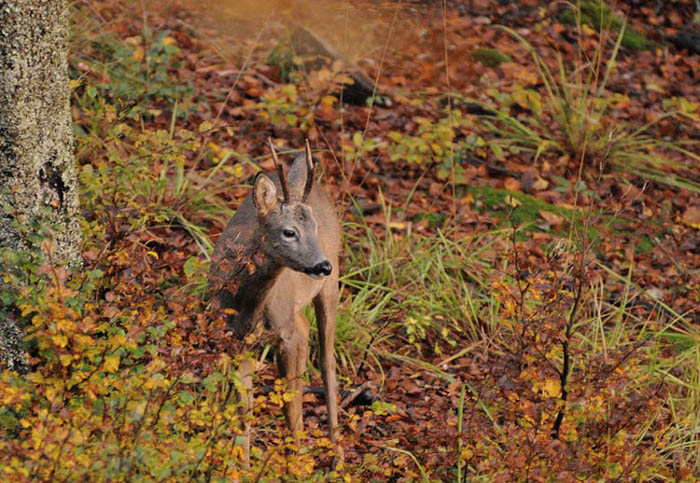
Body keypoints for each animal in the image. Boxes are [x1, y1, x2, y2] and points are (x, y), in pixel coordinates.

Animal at [211, 139, 342, 462]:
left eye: (314, 229)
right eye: (289, 232)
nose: (322, 265)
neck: (249, 307)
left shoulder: (285, 336)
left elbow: (291, 404)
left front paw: (297, 461)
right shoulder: (235, 340)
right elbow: (244, 407)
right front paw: (241, 466)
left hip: (330, 286)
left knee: (327, 361)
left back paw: (338, 455)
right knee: (306, 329)